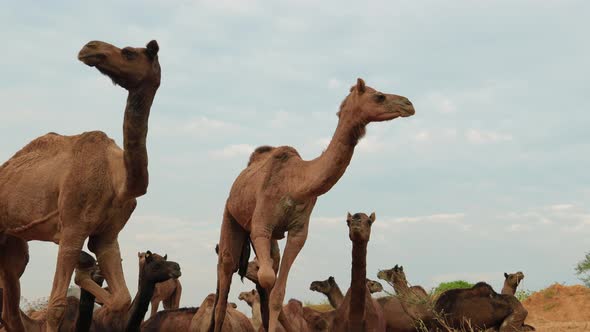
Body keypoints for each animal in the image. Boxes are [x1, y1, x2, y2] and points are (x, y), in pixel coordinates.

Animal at [0, 39, 162, 332]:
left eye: (129, 53)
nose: (90, 47)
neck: (118, 180)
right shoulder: (72, 228)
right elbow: (56, 306)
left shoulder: (107, 236)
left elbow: (121, 298)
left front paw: (86, 276)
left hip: (13, 244)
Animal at [214, 77, 416, 332]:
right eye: (379, 96)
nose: (408, 104)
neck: (296, 183)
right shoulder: (261, 226)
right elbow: (268, 279)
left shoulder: (298, 232)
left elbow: (277, 291)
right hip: (230, 215)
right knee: (225, 278)